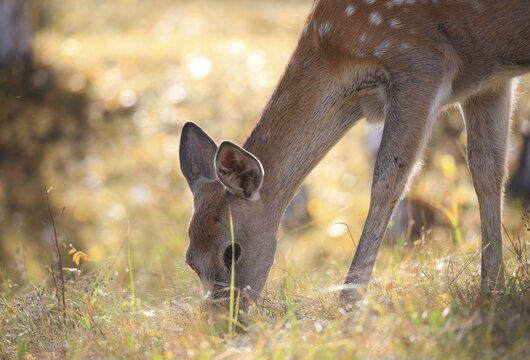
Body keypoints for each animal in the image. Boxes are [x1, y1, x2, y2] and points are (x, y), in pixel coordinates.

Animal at [178, 0, 528, 306]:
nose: (224, 322)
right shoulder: (488, 81)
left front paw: (349, 300)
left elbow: (387, 180)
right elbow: (487, 171)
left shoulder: (421, 61)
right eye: (190, 258)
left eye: (231, 251)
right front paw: (492, 289)